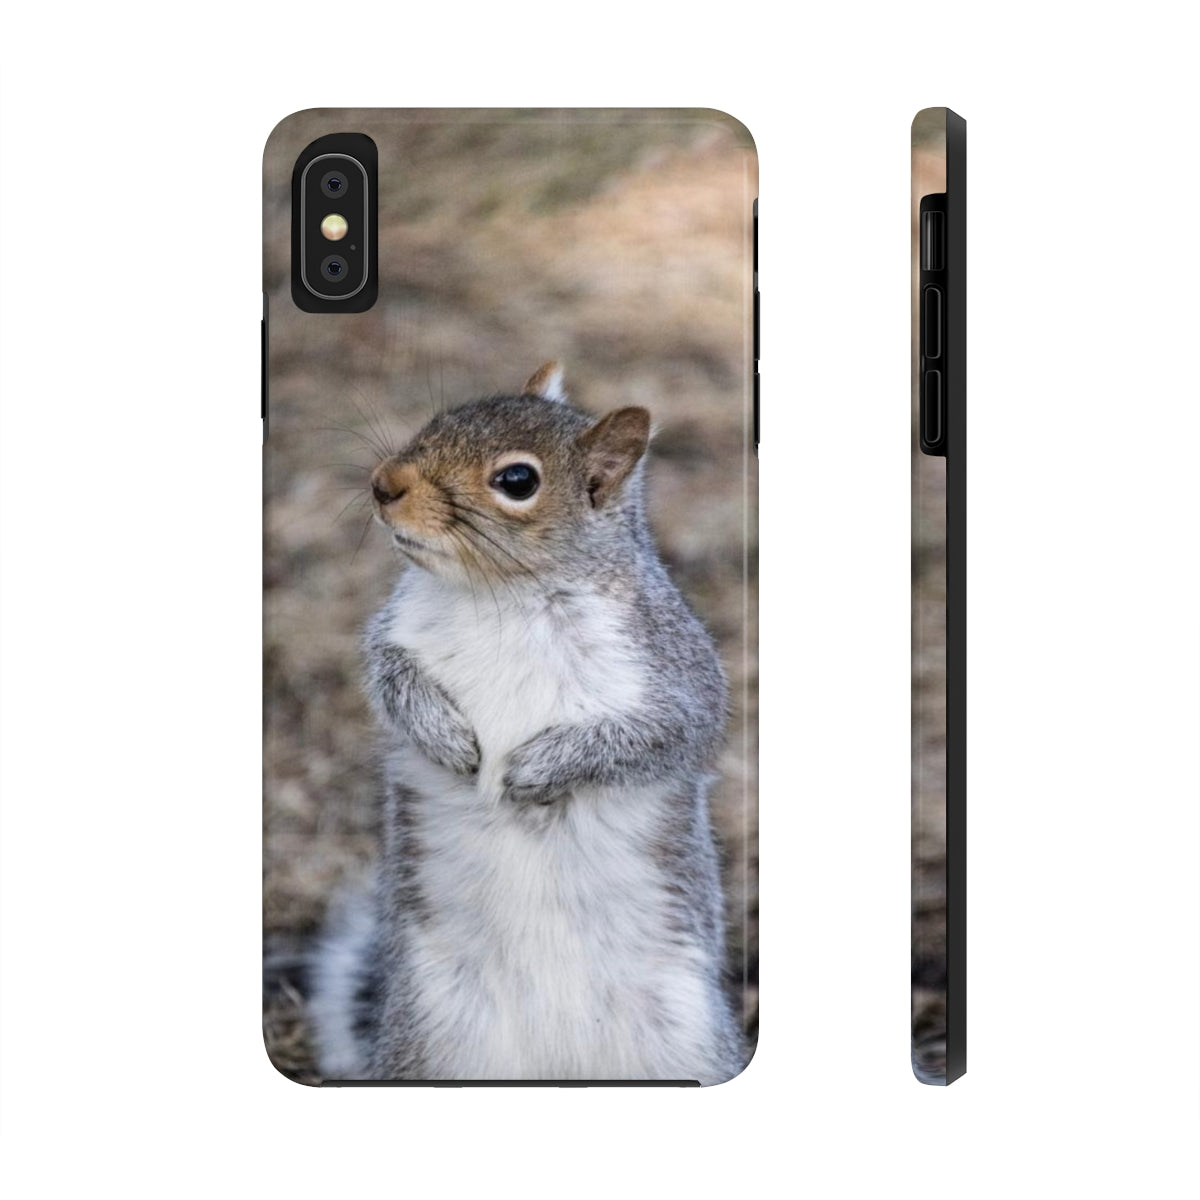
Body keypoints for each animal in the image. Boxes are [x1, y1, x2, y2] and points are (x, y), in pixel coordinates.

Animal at [309, 364, 746, 1084]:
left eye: (517, 481)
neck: (503, 595)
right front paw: (448, 738)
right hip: (431, 1040)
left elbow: (658, 737)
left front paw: (535, 770)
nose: (383, 483)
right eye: (439, 420)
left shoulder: (674, 675)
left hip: (686, 1041)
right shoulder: (394, 634)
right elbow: (390, 679)